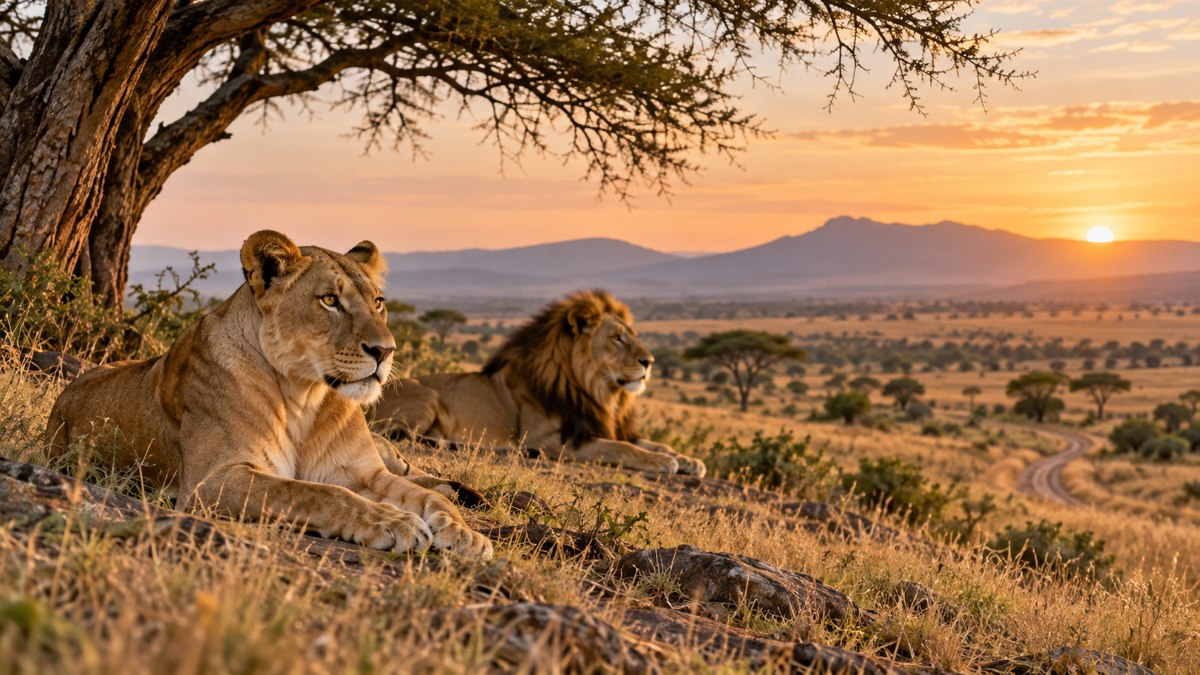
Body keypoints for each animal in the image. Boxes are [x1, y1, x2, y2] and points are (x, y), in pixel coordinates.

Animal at [47, 230, 492, 559]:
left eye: (378, 302)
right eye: (330, 300)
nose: (385, 351)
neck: (306, 397)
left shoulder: (364, 472)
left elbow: (423, 497)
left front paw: (463, 533)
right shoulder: (210, 483)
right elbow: (318, 493)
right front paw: (393, 523)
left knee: (419, 474)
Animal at [371, 290, 706, 476]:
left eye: (633, 335)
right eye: (617, 338)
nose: (649, 362)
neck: (599, 391)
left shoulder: (604, 425)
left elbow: (648, 441)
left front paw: (687, 460)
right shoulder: (547, 439)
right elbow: (619, 449)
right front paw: (662, 462)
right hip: (428, 395)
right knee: (403, 436)